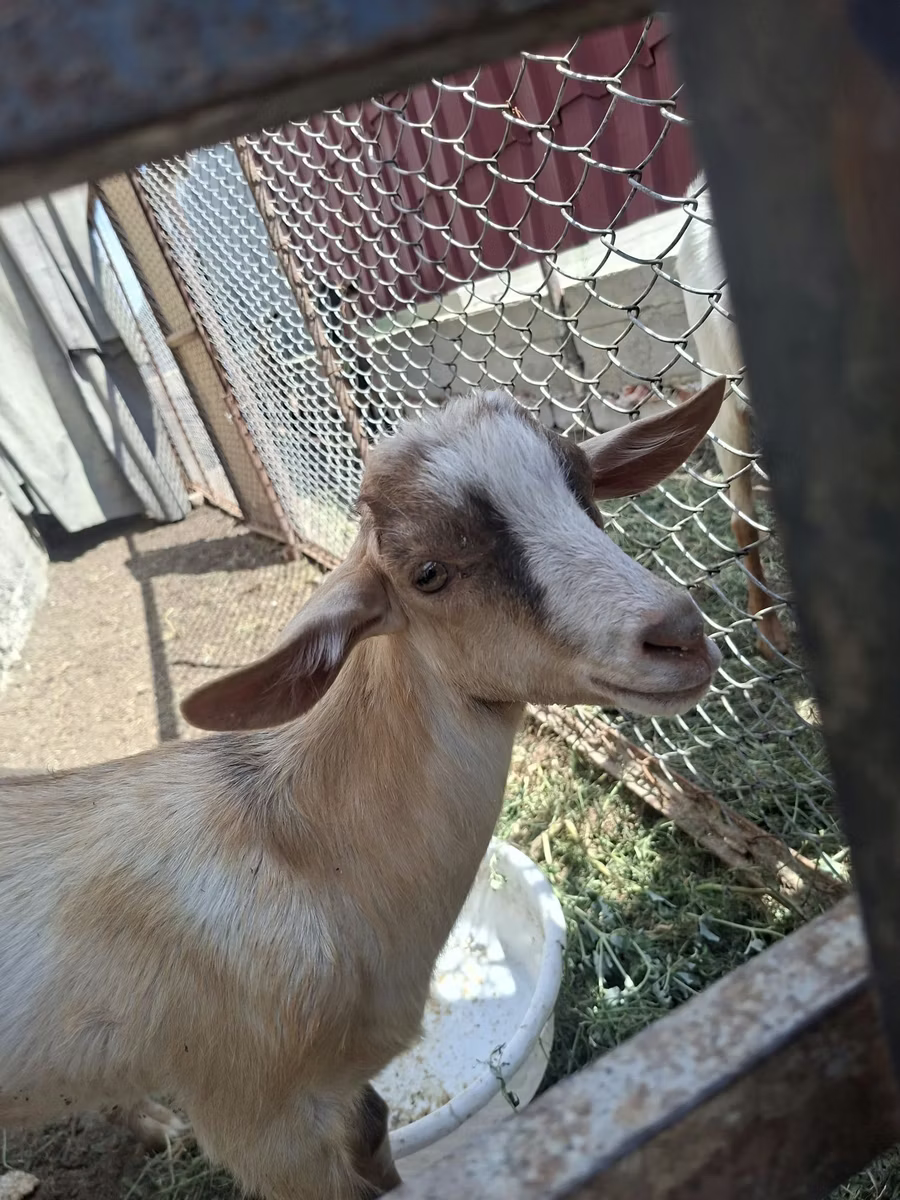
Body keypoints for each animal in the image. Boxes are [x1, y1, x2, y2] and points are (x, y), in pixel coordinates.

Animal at [0, 378, 725, 1200]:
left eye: (585, 491)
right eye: (428, 572)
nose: (677, 634)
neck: (304, 857)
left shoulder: (348, 1097)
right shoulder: (263, 1125)